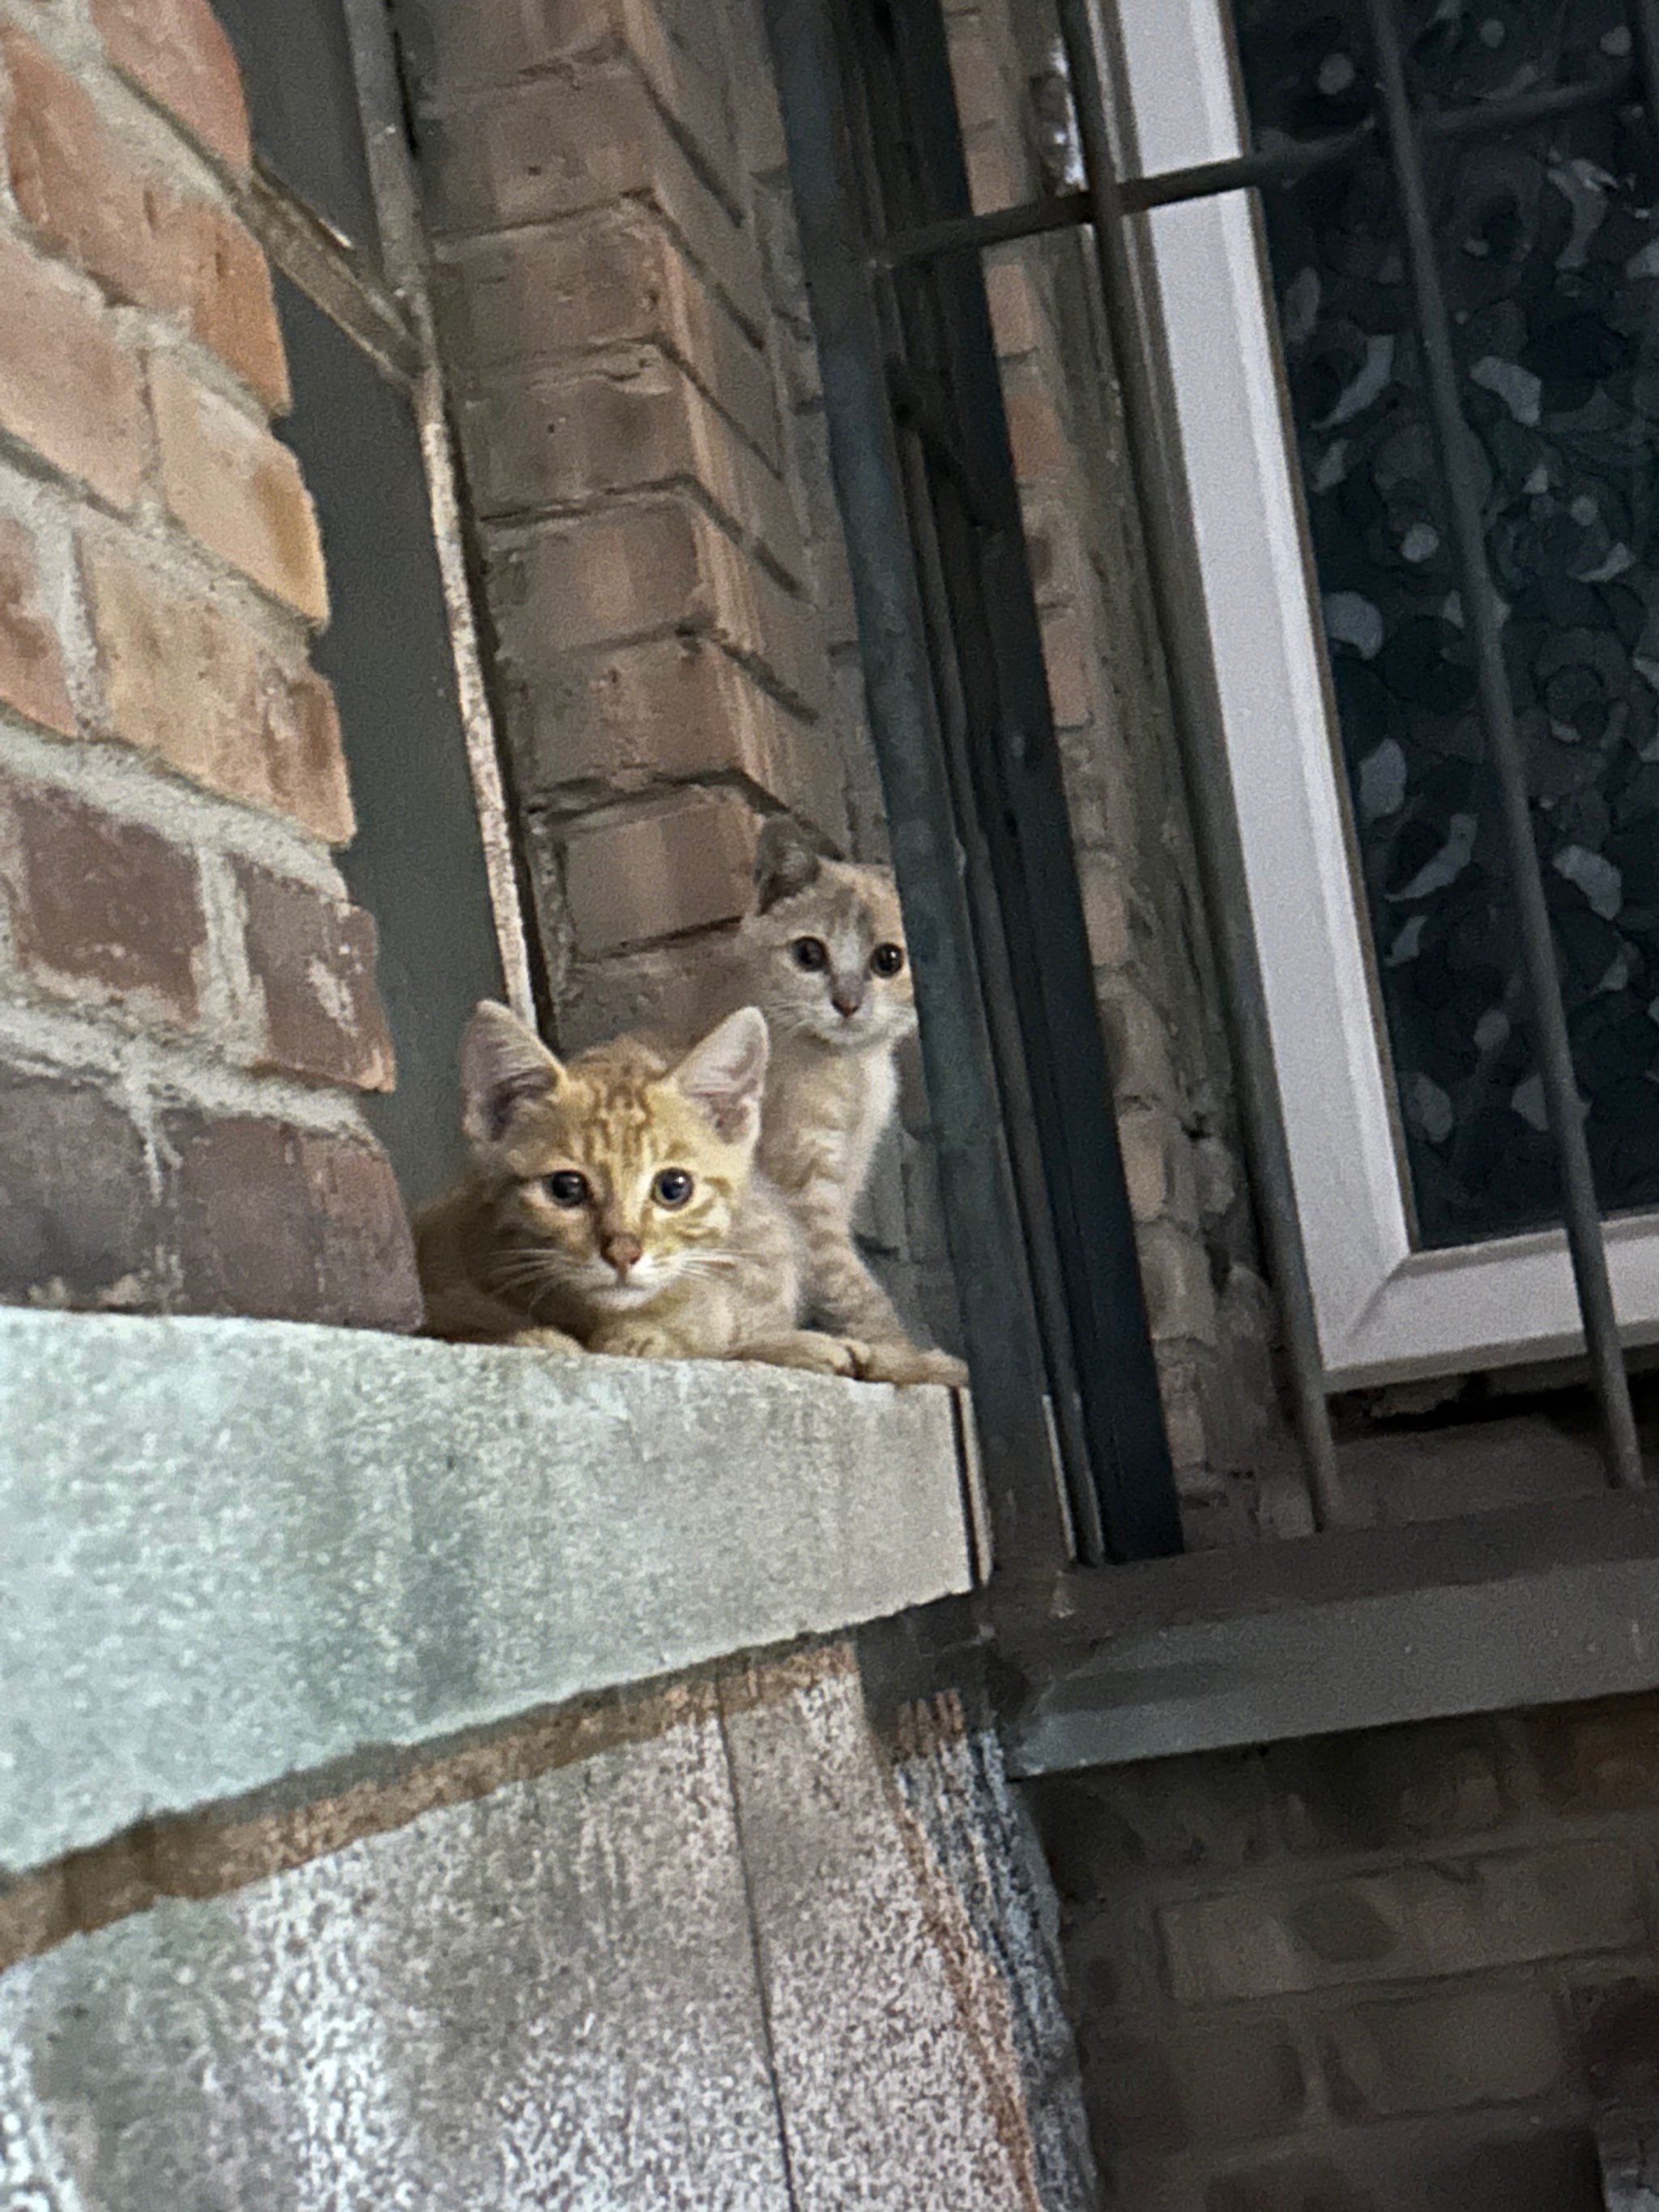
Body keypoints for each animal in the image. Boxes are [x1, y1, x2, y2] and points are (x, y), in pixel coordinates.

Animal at [739, 822, 973, 1389]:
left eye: (888, 960)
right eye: (808, 954)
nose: (846, 1004)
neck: (854, 1070)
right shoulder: (805, 1192)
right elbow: (856, 1291)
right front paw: (908, 1360)